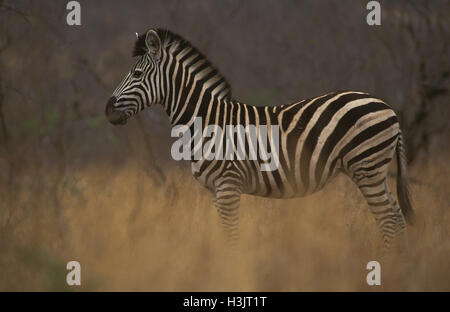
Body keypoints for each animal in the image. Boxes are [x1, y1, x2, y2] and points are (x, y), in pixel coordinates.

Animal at [105, 29, 414, 251]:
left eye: (136, 74)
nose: (107, 111)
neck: (206, 121)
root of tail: (388, 107)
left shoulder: (228, 186)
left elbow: (232, 238)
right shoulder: (216, 191)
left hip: (366, 167)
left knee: (388, 221)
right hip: (375, 171)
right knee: (397, 220)